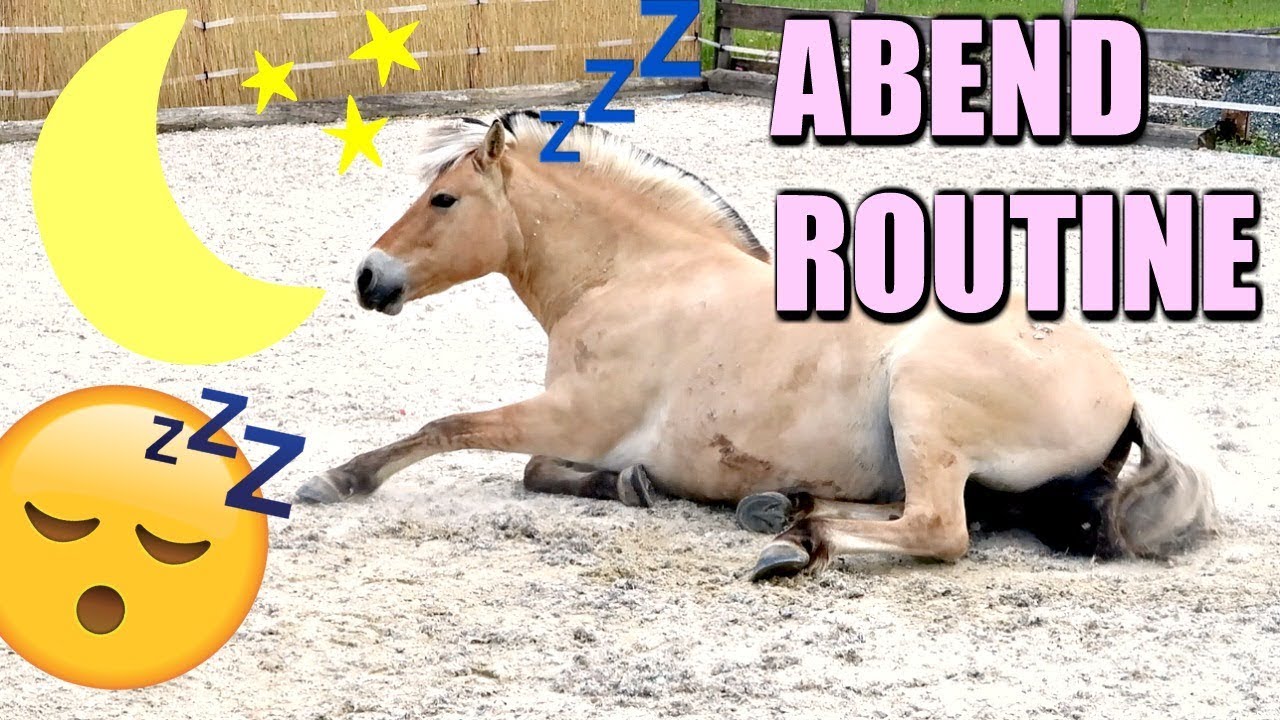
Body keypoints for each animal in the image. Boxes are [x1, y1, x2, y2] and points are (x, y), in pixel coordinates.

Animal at [296, 111, 1218, 580]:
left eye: (444, 200)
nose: (369, 277)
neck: (634, 273)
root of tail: (1125, 394)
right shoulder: (576, 427)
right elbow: (536, 471)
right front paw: (631, 485)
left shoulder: (571, 414)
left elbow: (449, 429)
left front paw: (338, 480)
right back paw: (783, 508)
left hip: (921, 401)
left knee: (941, 530)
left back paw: (794, 544)